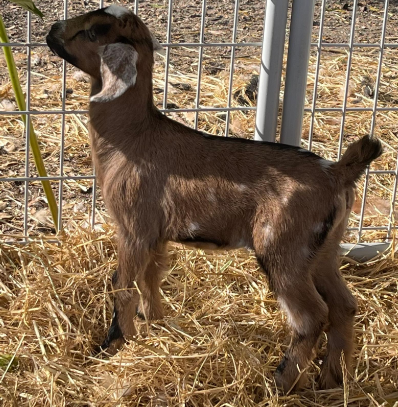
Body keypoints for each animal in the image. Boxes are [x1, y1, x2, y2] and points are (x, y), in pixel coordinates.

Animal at [46, 5, 382, 396]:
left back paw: (281, 382)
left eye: (92, 31)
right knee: (344, 306)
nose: (52, 29)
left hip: (284, 248)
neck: (133, 136)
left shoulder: (133, 227)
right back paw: (331, 380)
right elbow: (150, 279)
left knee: (312, 316)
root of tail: (338, 172)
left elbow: (124, 285)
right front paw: (155, 324)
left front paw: (112, 345)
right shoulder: (156, 234)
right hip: (323, 251)